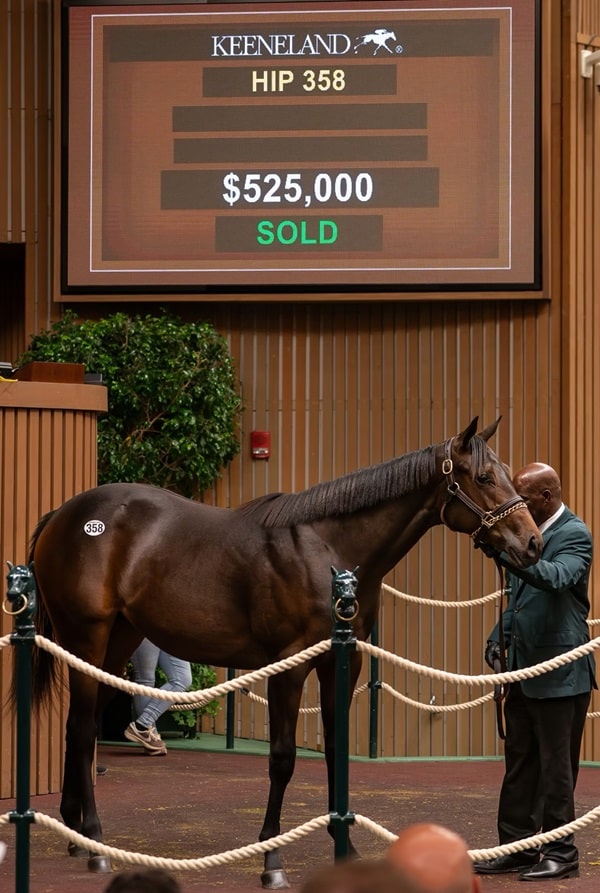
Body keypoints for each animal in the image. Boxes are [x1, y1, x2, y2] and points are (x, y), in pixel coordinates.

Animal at [25, 422, 540, 888]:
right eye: (485, 478)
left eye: (507, 474)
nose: (532, 543)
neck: (329, 548)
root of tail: (63, 514)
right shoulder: (289, 668)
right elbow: (282, 757)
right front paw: (271, 860)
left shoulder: (342, 664)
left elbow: (336, 750)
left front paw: (346, 848)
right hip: (86, 637)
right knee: (84, 728)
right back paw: (95, 842)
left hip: (117, 644)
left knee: (79, 726)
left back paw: (76, 834)